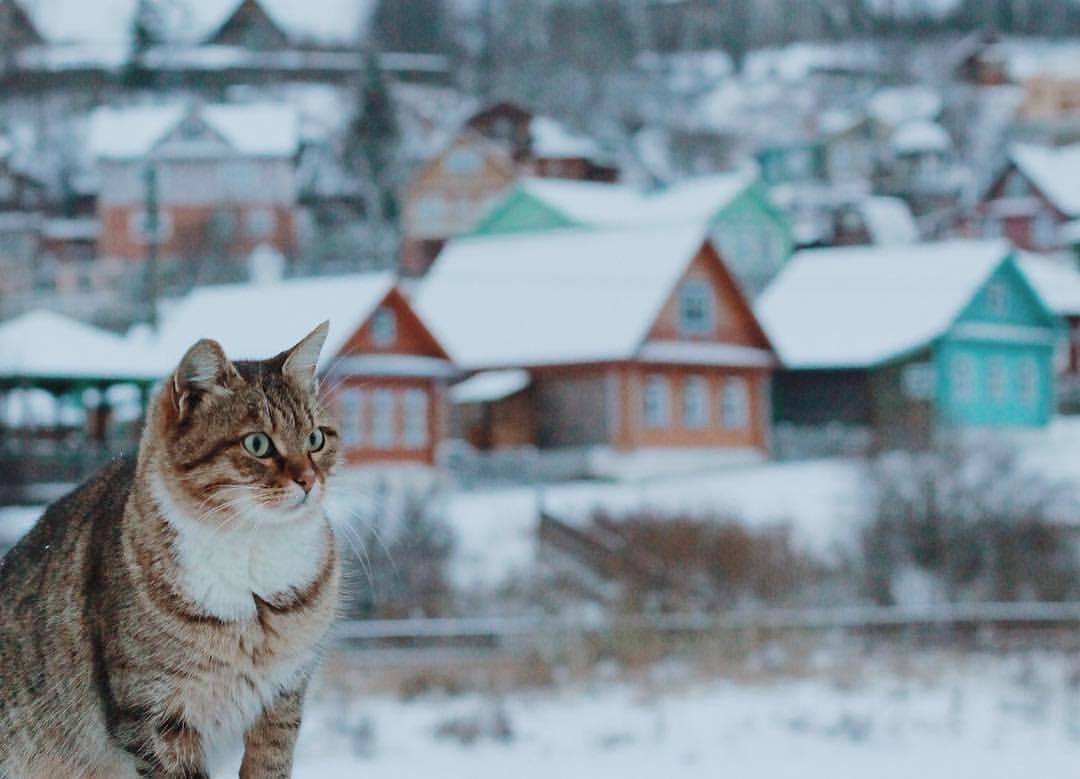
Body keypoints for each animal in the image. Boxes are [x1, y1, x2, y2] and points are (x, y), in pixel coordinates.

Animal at [0, 319, 341, 773]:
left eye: (316, 438)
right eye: (257, 444)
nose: (309, 480)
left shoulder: (284, 697)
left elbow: (268, 763)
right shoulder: (154, 715)